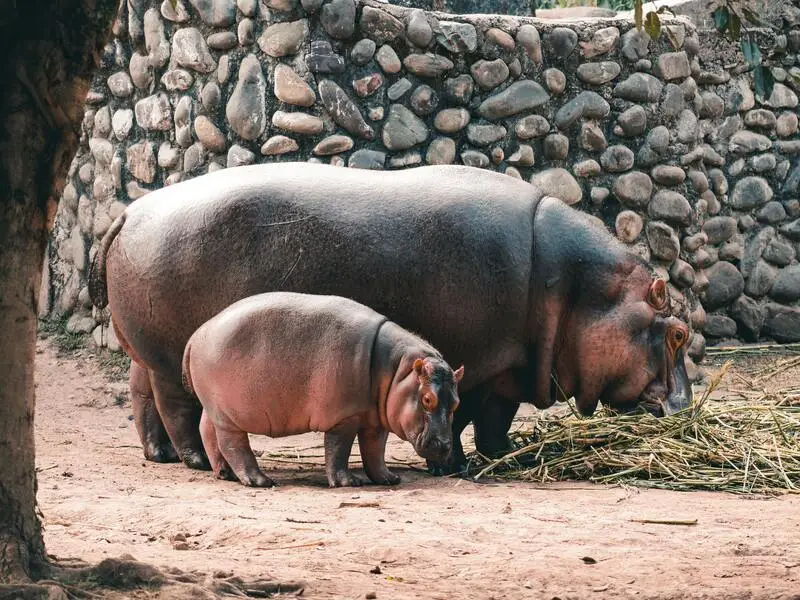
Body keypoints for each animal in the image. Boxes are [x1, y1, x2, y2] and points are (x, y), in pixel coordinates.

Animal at [180, 292, 462, 488]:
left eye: (456, 402)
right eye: (427, 399)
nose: (444, 447)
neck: (398, 370)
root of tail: (196, 336)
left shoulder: (375, 417)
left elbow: (375, 450)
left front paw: (388, 478)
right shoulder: (344, 416)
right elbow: (339, 449)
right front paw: (348, 482)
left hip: (214, 407)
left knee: (207, 430)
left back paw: (224, 474)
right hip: (230, 414)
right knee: (233, 444)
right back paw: (259, 481)